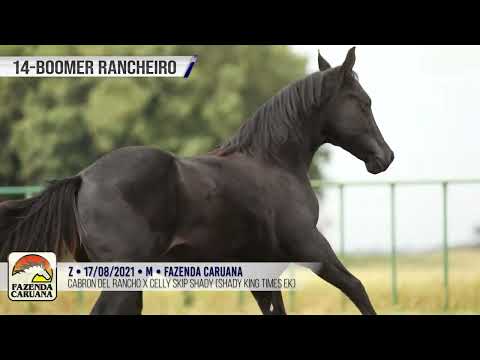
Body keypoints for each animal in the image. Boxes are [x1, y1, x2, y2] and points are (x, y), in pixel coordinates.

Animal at [0, 46, 394, 314]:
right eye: (363, 103)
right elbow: (357, 289)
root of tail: (82, 179)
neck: (274, 164)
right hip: (123, 280)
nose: (385, 157)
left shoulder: (261, 272)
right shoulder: (311, 246)